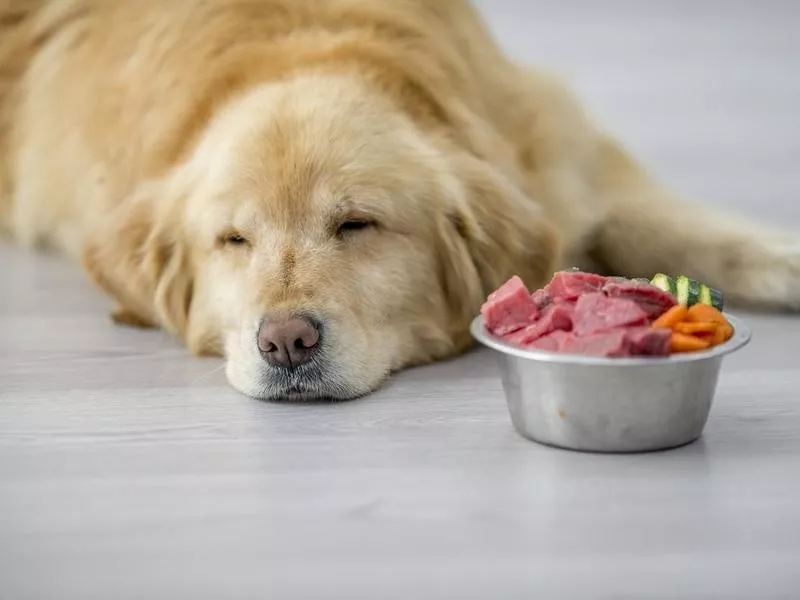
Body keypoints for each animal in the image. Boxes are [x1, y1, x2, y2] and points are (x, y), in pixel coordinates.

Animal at [0, 2, 796, 400]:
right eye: (233, 240)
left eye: (357, 223)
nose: (286, 342)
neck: (297, 41)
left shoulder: (556, 149)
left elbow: (673, 222)